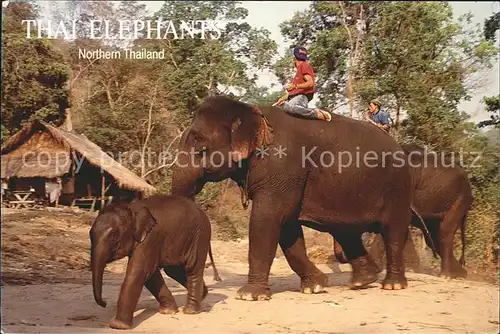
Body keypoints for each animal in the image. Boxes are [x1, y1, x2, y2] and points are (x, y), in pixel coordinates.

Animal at [172, 95, 422, 302]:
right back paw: (362, 282)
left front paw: (248, 296)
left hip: (397, 188)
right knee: (345, 231)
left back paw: (392, 285)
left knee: (392, 231)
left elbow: (267, 219)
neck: (249, 109)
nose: (213, 282)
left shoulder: (283, 166)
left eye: (200, 144)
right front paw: (315, 287)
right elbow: (288, 228)